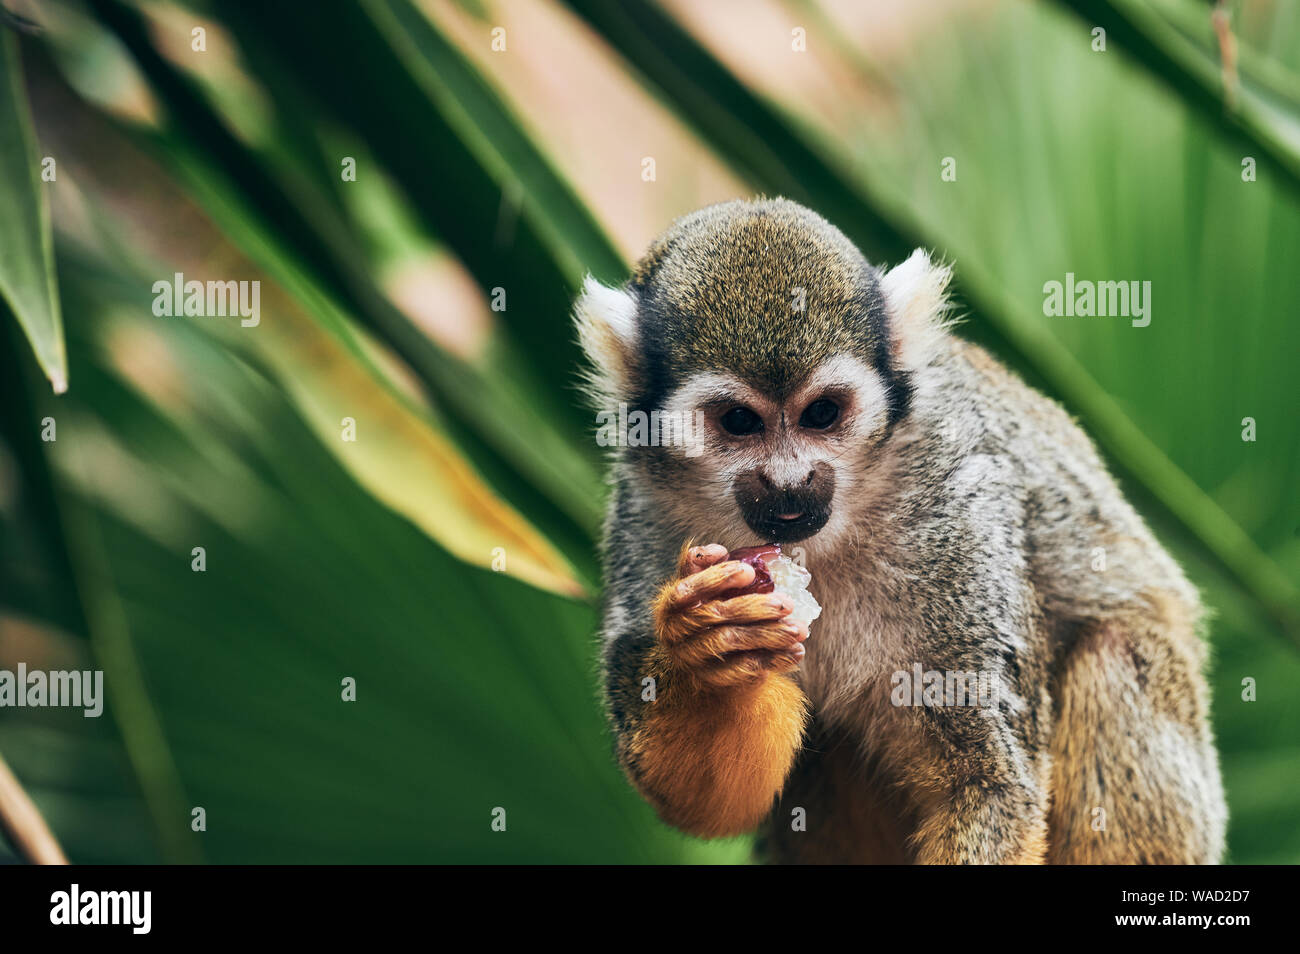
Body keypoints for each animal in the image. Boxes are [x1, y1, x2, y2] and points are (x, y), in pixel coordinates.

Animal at [572, 196, 1227, 868]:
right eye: (737, 422)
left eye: (822, 414)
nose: (790, 483)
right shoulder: (643, 512)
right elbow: (703, 802)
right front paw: (709, 649)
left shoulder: (957, 506)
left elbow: (992, 784)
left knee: (1118, 652)